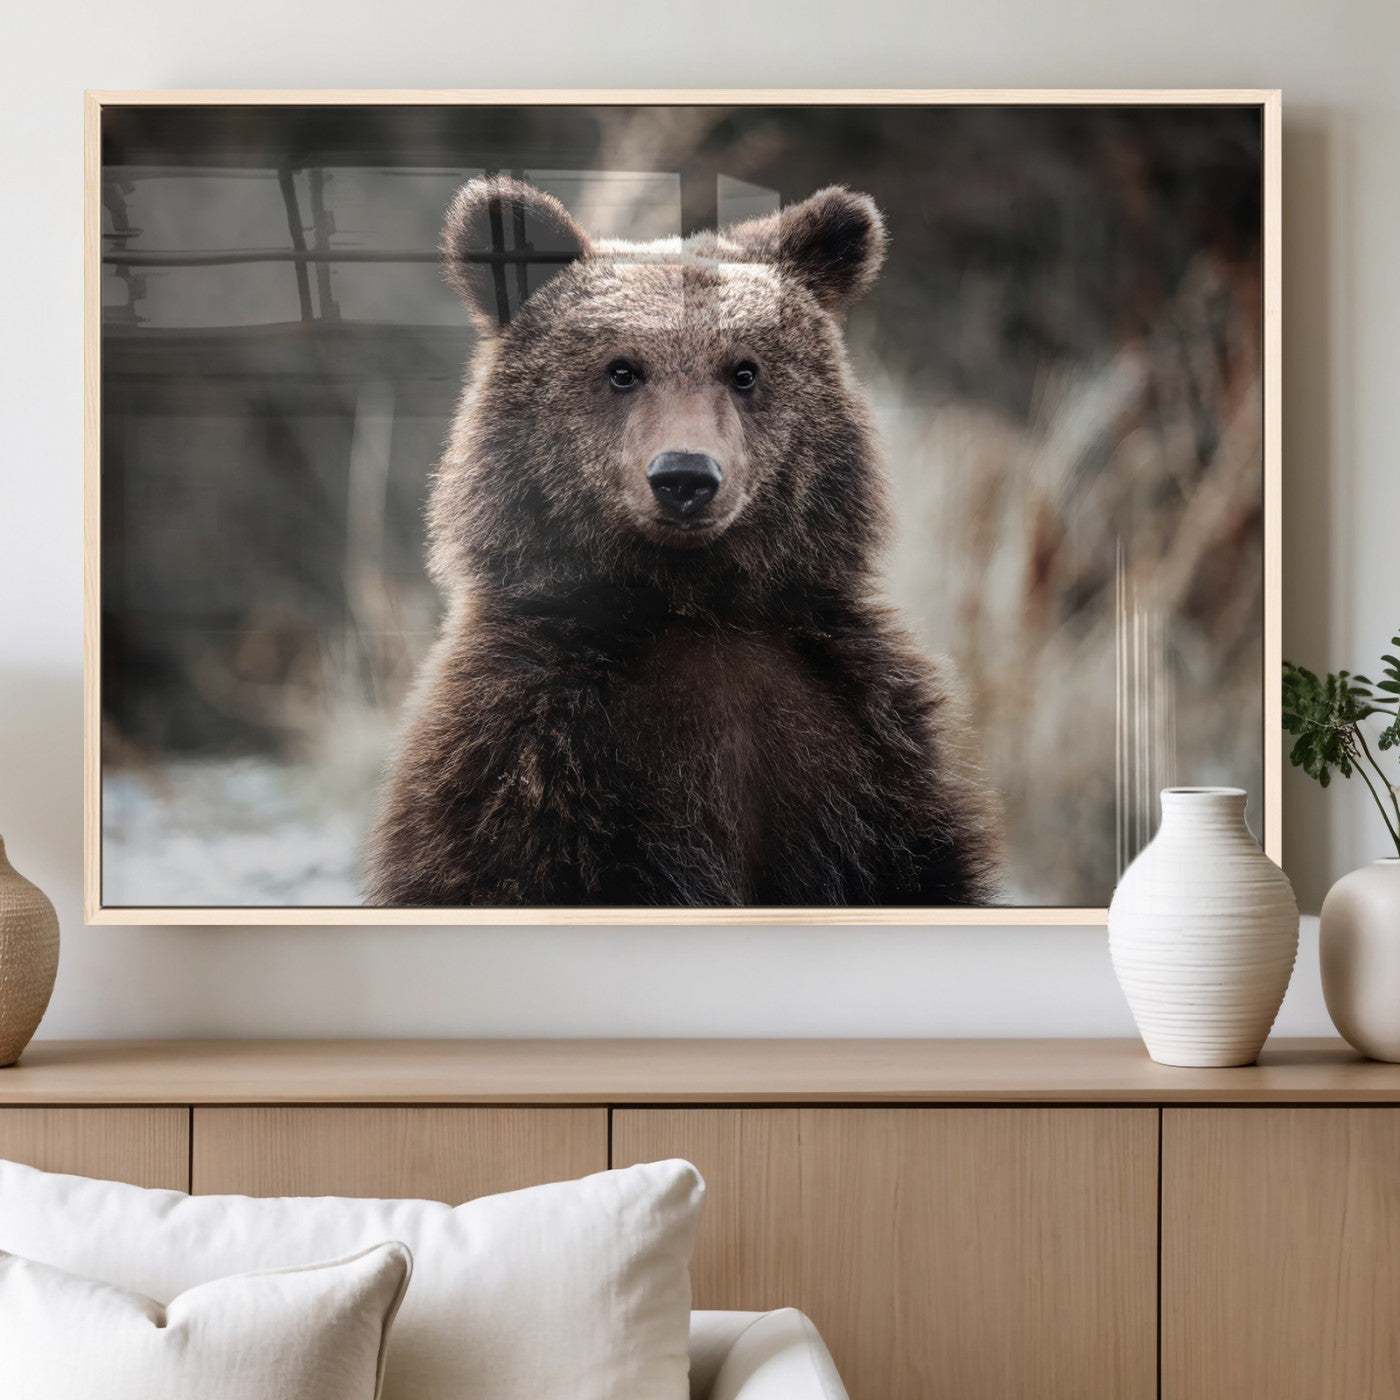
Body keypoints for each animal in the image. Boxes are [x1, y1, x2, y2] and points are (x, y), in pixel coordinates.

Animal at [363, 175, 1001, 907]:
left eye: (744, 371)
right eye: (621, 369)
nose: (685, 476)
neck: (693, 603)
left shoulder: (865, 748)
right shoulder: (527, 754)